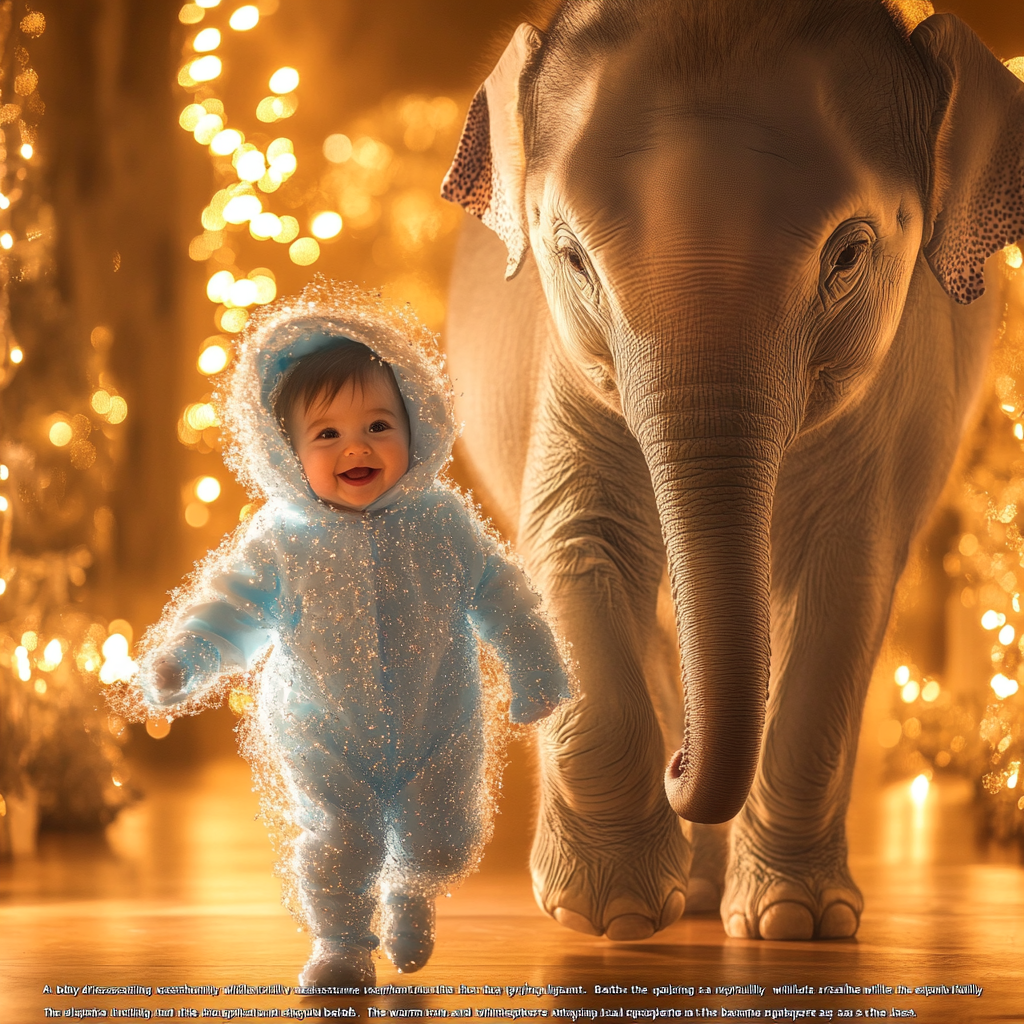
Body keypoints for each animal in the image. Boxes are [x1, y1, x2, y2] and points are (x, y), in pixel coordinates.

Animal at [438, 0, 1024, 942]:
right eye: (572, 258)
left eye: (849, 255)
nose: (681, 760)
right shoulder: (564, 376)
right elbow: (578, 546)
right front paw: (614, 916)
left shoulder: (890, 398)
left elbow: (842, 584)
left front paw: (796, 923)